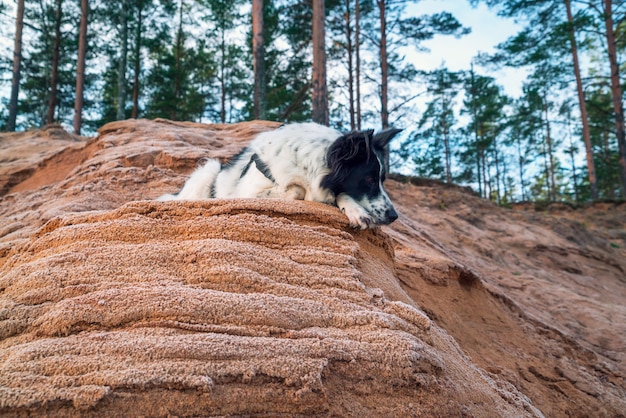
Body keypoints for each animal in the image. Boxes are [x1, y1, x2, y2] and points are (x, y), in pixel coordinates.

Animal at [157, 122, 400, 230]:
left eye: (381, 180)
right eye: (368, 179)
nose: (394, 216)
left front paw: (355, 210)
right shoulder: (249, 193)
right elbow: (296, 191)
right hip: (208, 171)